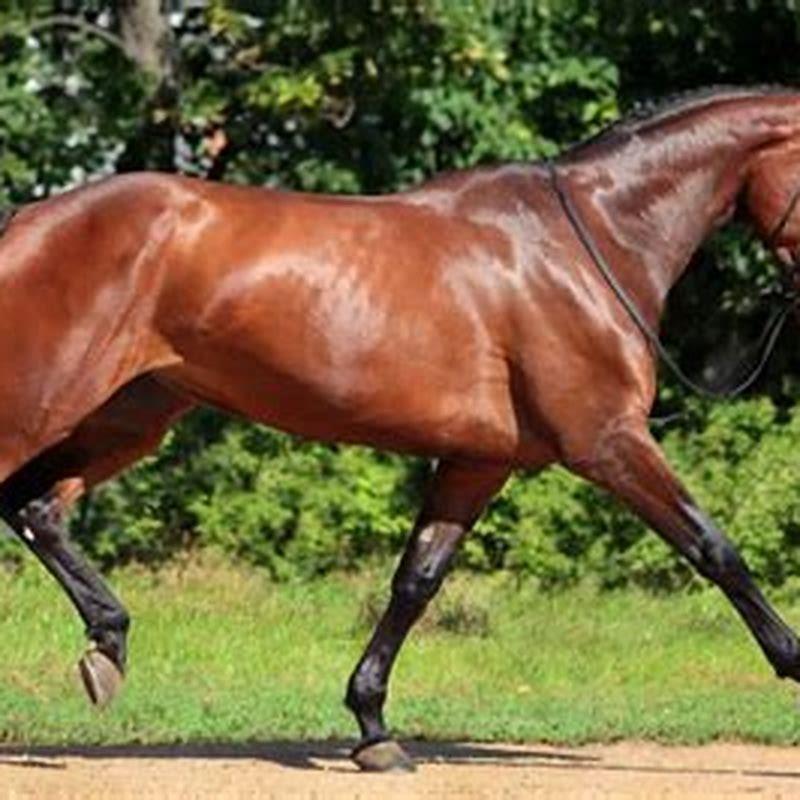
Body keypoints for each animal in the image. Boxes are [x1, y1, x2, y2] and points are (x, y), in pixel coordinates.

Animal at [2, 85, 800, 773]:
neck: (587, 243)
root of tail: (27, 222)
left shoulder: (479, 461)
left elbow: (416, 582)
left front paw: (373, 728)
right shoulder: (607, 440)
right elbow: (715, 549)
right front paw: (793, 663)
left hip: (131, 415)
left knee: (38, 509)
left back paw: (108, 647)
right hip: (42, 405)